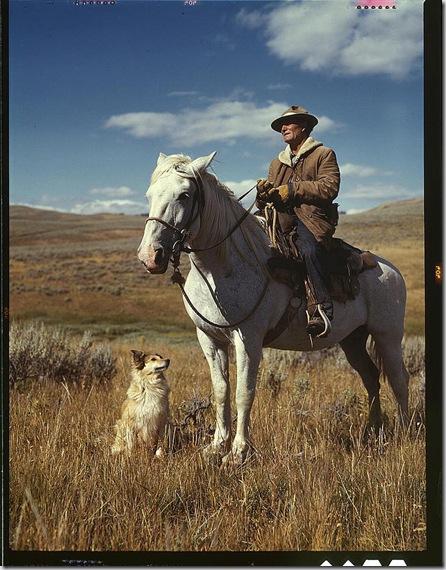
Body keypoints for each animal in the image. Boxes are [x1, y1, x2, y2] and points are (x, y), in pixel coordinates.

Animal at [138, 151, 410, 462]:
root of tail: (389, 269)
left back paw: (402, 433)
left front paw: (238, 452)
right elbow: (220, 391)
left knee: (399, 380)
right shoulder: (209, 338)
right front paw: (216, 446)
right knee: (371, 378)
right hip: (352, 339)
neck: (224, 264)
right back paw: (372, 431)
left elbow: (244, 392)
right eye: (149, 195)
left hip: (388, 335)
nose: (150, 256)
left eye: (184, 195)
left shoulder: (249, 339)